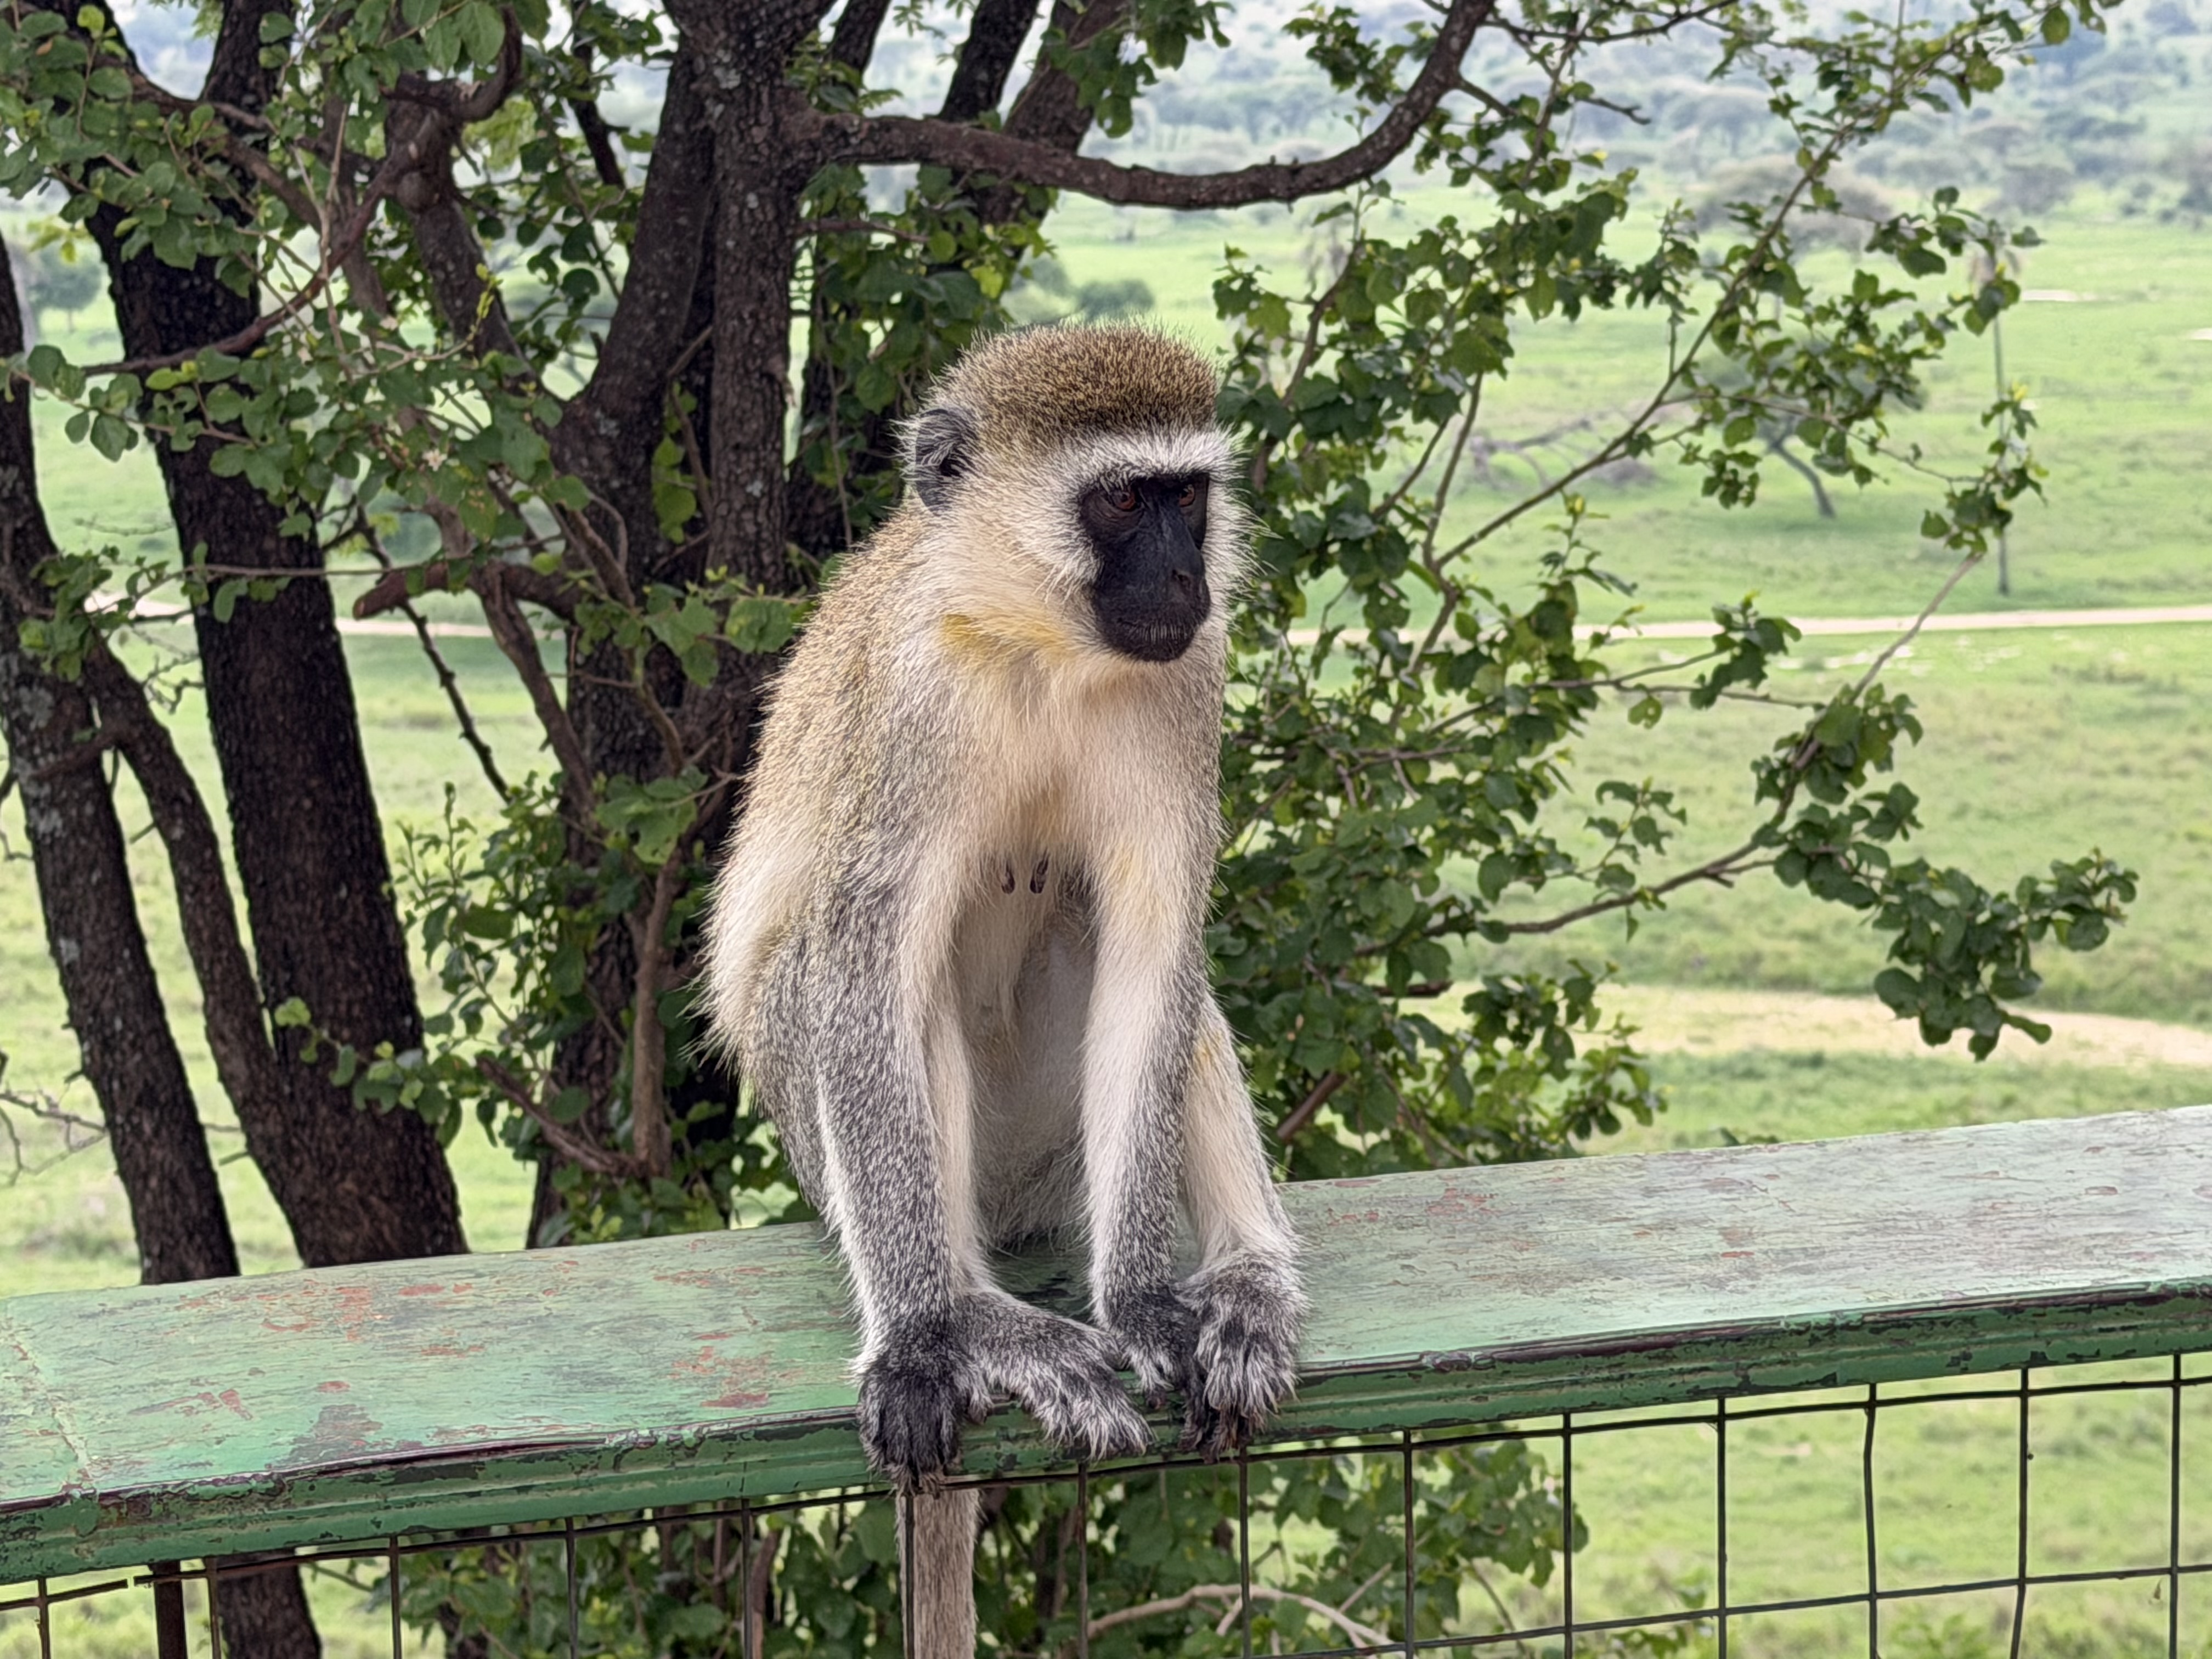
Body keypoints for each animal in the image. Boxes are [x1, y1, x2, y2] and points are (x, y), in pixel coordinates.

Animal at [704, 324, 1306, 1653]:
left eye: (1189, 498)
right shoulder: (912, 702)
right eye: (1124, 500)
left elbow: (1154, 949)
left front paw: (1140, 1302)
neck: (1040, 652)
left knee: (1140, 965)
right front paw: (929, 1340)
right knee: (862, 980)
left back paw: (1245, 1277)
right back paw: (975, 1312)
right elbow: (866, 962)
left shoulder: (1187, 679)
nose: (1184, 576)